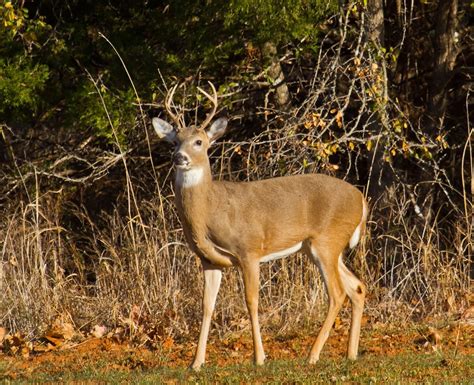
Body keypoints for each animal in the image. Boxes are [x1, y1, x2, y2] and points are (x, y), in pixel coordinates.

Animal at [154, 82, 368, 368]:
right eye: (175, 141)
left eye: (199, 142)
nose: (180, 157)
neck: (210, 212)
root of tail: (361, 199)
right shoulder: (208, 259)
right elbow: (207, 306)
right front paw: (196, 363)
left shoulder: (250, 250)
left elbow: (251, 301)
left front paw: (259, 357)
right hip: (322, 248)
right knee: (357, 287)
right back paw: (350, 353)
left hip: (327, 241)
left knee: (337, 293)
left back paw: (312, 355)